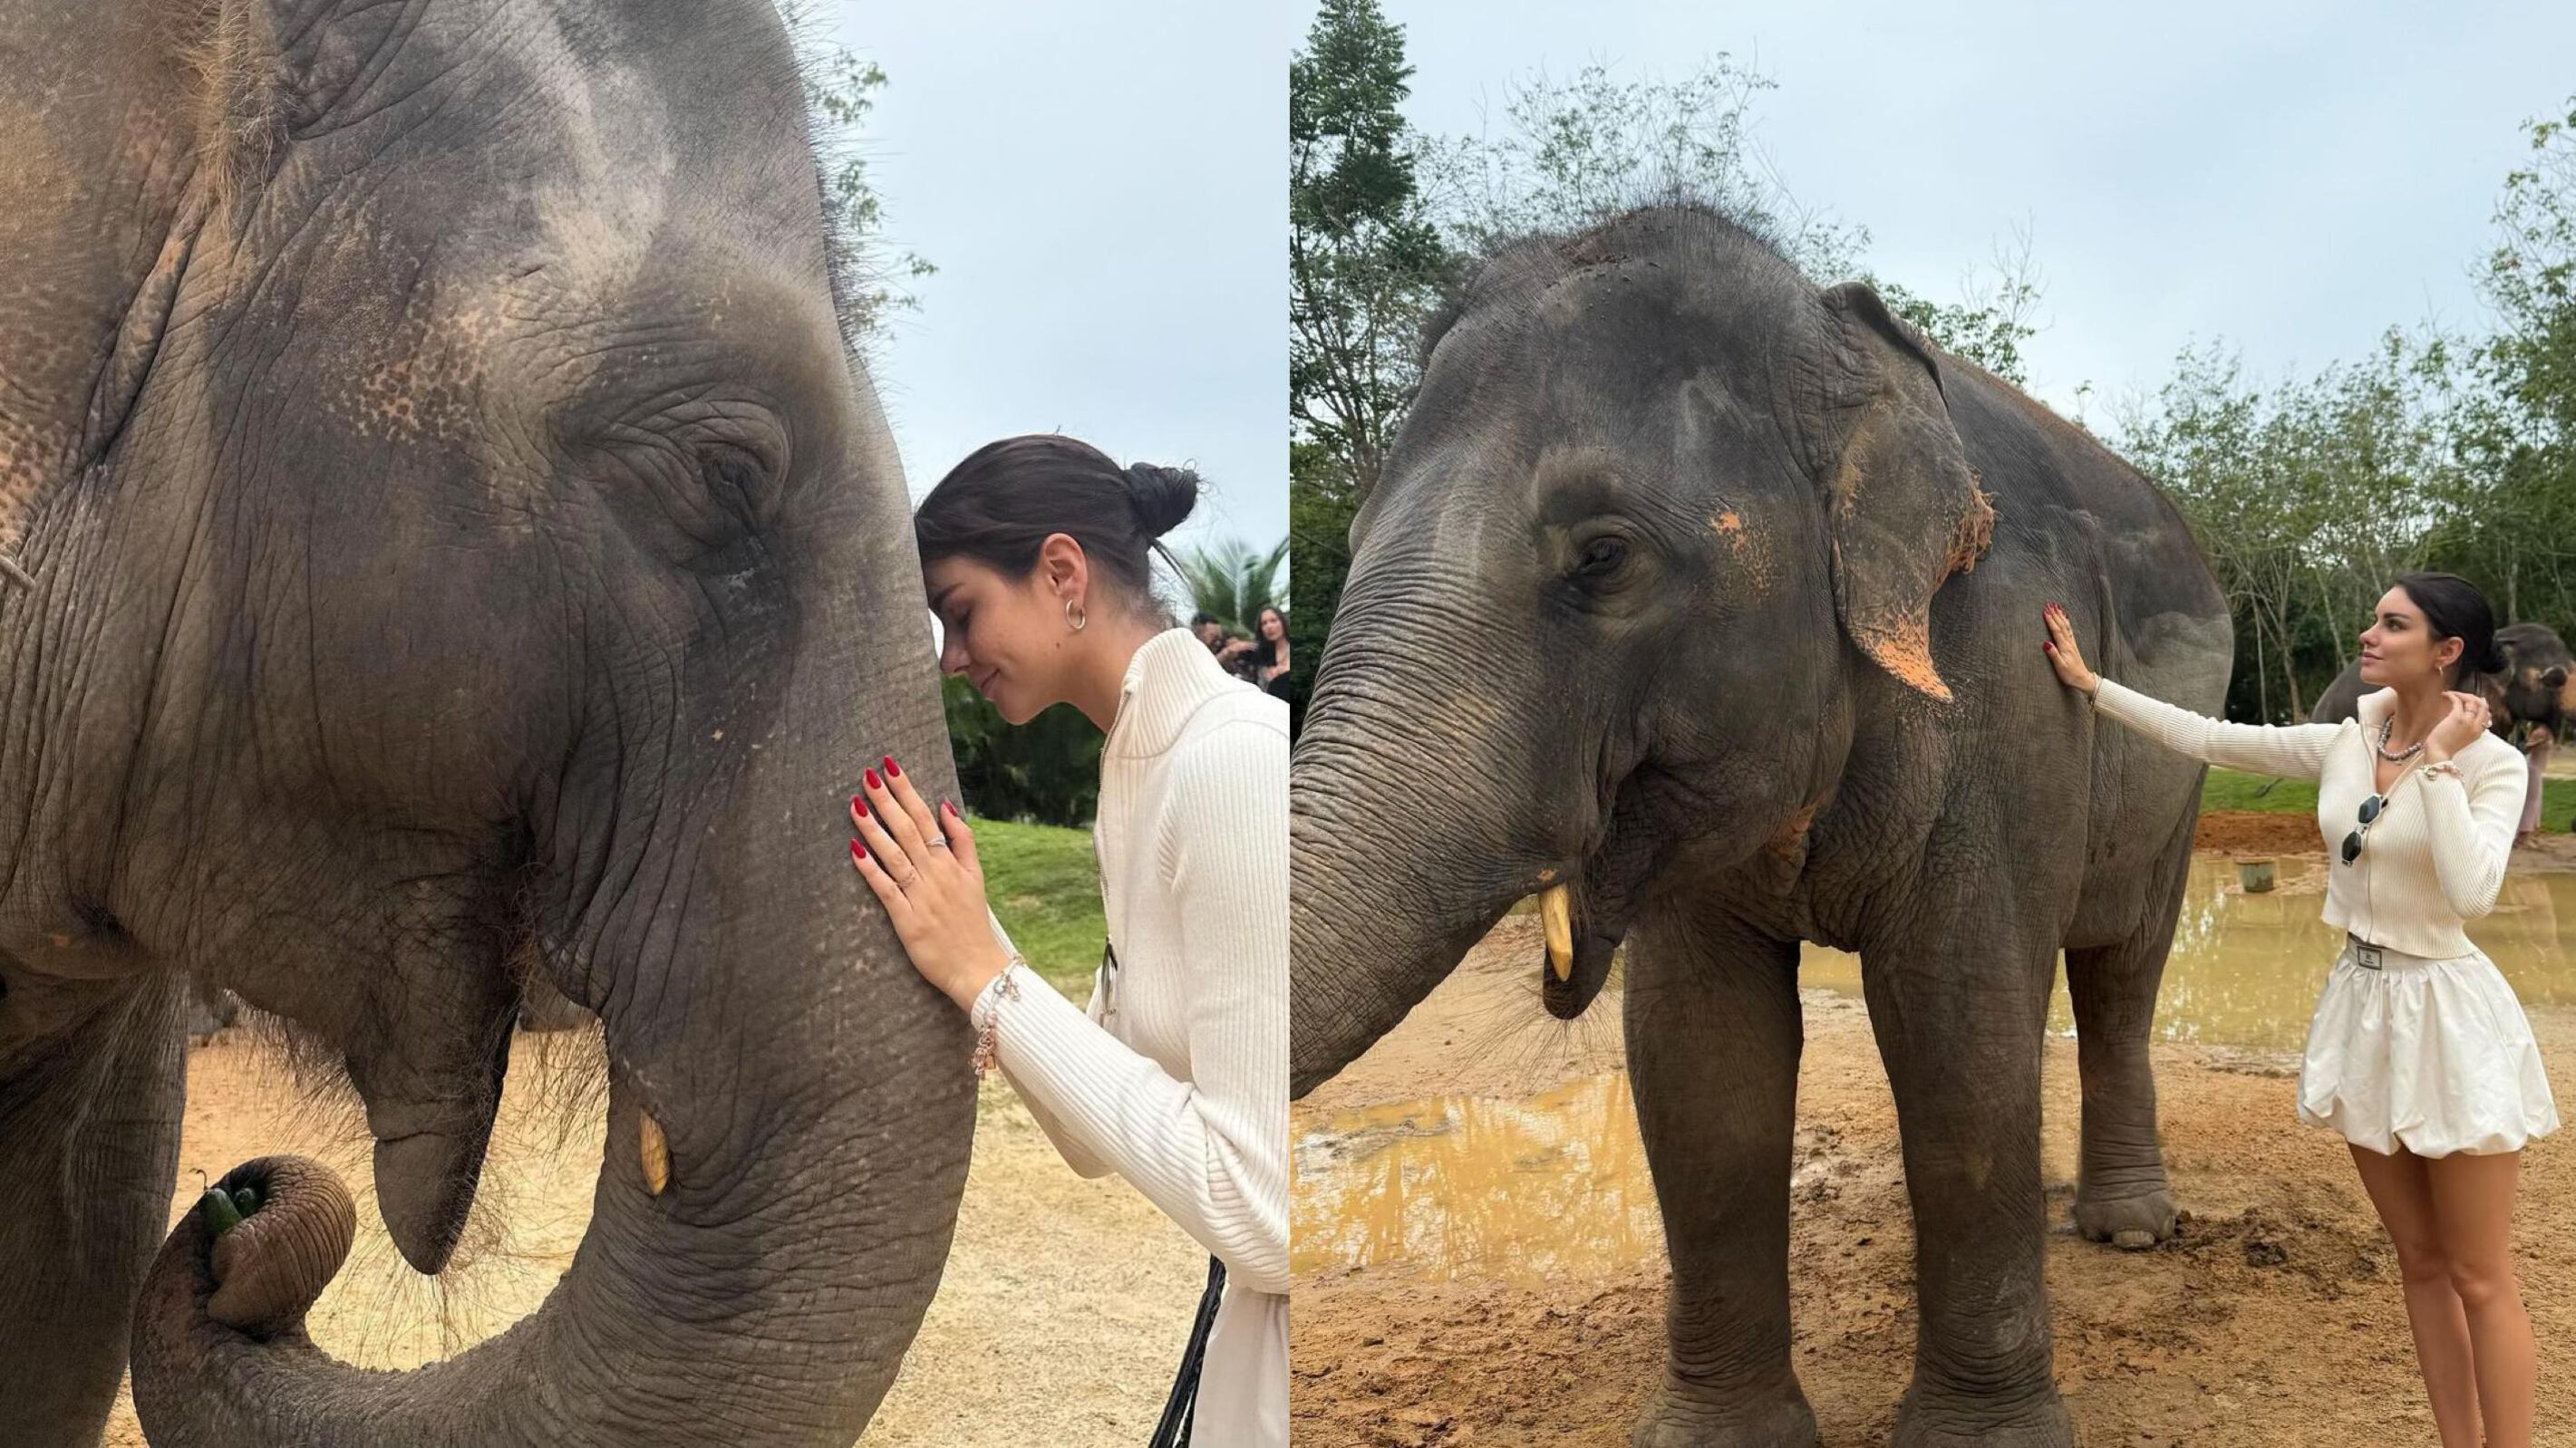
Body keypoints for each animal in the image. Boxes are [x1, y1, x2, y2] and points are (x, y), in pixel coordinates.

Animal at [1290, 204, 2233, 1448]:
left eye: (1603, 556)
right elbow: (1702, 1054)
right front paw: (1721, 1435)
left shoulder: (2007, 685)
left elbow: (1959, 1025)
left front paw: (1977, 1440)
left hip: (2183, 779)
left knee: (2124, 968)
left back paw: (2125, 1228)